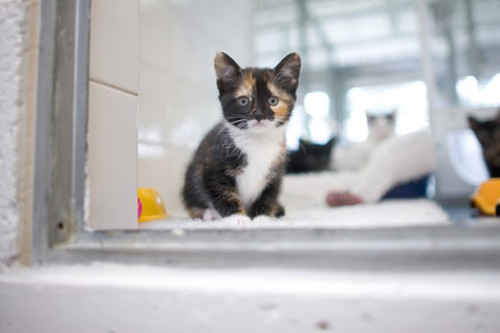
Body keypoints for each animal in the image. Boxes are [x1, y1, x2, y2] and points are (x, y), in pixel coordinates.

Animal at [183, 52, 300, 219]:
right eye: (243, 101)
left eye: (273, 100)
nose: (259, 115)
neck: (257, 142)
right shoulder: (212, 169)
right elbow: (225, 195)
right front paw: (237, 219)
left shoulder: (276, 173)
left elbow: (267, 197)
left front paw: (262, 219)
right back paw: (209, 214)